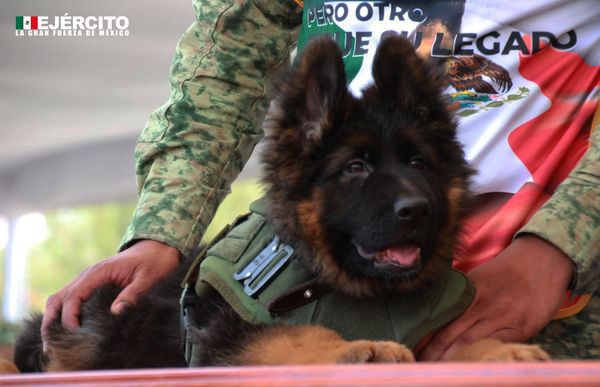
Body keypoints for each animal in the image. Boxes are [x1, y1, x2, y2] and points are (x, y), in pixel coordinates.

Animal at [12, 36, 548, 372]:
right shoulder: (231, 337)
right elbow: (295, 337)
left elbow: (455, 346)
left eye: (418, 163)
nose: (417, 211)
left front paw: (497, 349)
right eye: (356, 167)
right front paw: (364, 347)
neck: (341, 283)